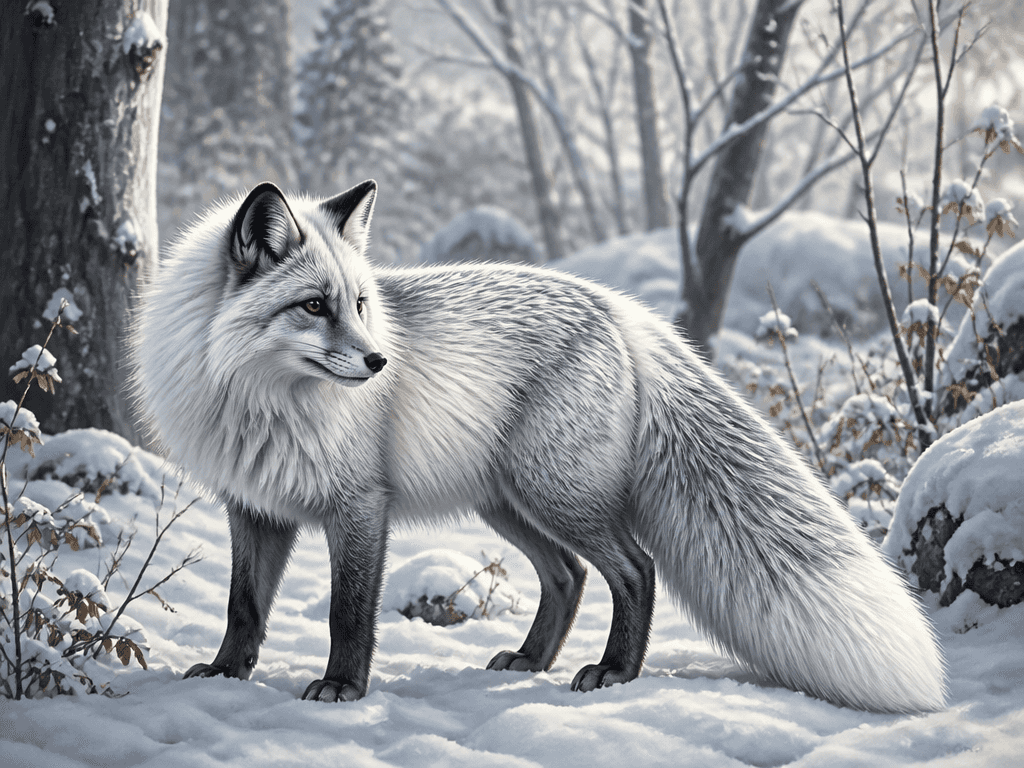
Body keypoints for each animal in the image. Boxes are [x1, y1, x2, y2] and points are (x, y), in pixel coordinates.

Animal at [132, 179, 946, 713]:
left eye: (360, 304)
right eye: (313, 306)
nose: (379, 362)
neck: (261, 403)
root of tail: (621, 309)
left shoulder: (359, 507)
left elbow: (348, 612)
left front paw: (343, 688)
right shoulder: (254, 507)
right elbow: (243, 607)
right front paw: (225, 674)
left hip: (555, 496)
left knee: (634, 569)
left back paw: (614, 672)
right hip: (510, 503)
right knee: (568, 576)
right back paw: (529, 659)